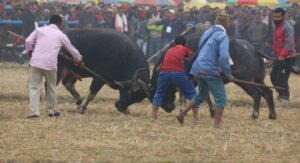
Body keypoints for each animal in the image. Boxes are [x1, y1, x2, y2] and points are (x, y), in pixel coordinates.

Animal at [149, 28, 278, 119]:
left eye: (154, 90)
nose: (168, 108)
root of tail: (253, 49)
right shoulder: (199, 81)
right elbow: (203, 96)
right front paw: (212, 111)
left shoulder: (190, 80)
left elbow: (188, 95)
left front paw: (183, 111)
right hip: (259, 79)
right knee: (268, 92)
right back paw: (272, 115)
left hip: (245, 81)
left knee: (257, 93)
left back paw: (255, 114)